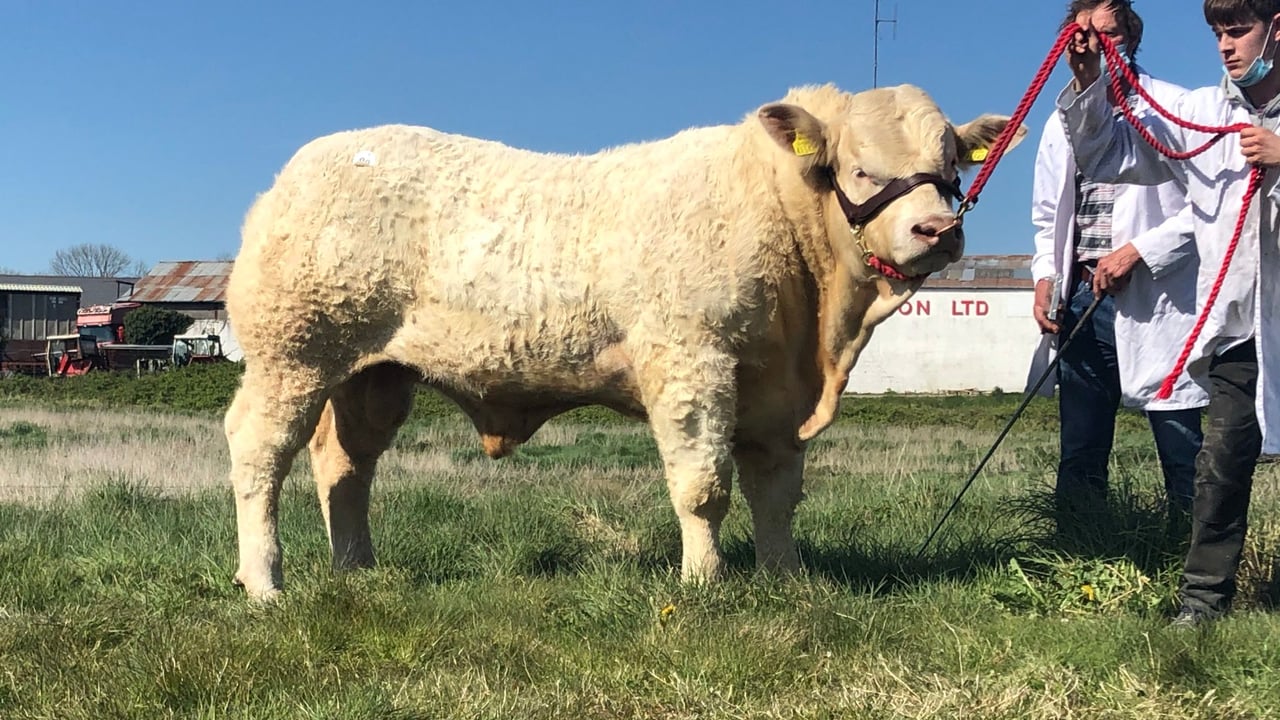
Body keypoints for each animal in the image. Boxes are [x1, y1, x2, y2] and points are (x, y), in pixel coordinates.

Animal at [223, 83, 1027, 600]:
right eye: (861, 168)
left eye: (950, 168)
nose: (938, 229)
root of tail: (296, 171)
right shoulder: (690, 359)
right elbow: (703, 485)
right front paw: (705, 585)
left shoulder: (774, 389)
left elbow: (776, 492)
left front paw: (787, 579)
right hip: (292, 351)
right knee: (260, 451)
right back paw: (266, 583)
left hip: (373, 372)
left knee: (344, 464)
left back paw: (357, 570)